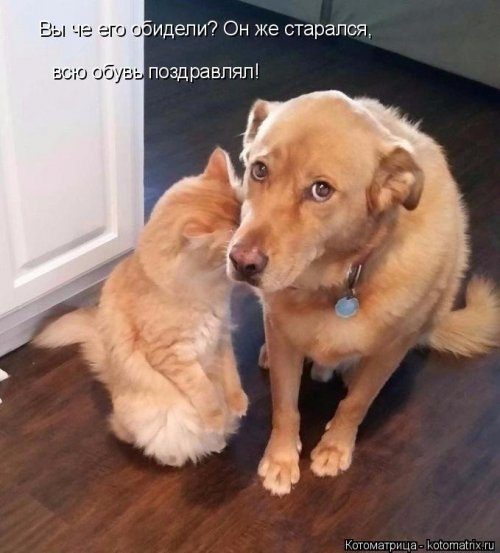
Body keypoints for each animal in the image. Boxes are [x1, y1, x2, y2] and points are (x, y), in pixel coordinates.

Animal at [36, 148, 248, 467]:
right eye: (229, 245)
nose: (246, 252)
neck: (205, 291)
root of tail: (112, 381)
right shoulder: (172, 355)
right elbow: (204, 390)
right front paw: (215, 416)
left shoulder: (222, 336)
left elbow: (230, 373)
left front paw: (237, 403)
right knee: (129, 434)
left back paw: (218, 442)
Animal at [227, 91, 500, 495]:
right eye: (259, 170)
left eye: (321, 190)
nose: (241, 262)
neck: (338, 283)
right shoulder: (284, 341)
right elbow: (285, 406)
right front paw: (280, 459)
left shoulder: (388, 353)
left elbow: (355, 405)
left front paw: (334, 448)